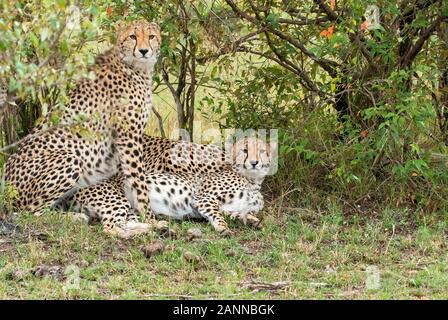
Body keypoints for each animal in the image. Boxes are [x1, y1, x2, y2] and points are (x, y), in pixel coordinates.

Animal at [3, 19, 161, 235]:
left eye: (151, 36)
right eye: (132, 36)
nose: (144, 51)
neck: (135, 67)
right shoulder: (128, 136)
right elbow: (139, 180)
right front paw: (150, 218)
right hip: (70, 158)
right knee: (29, 212)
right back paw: (75, 218)